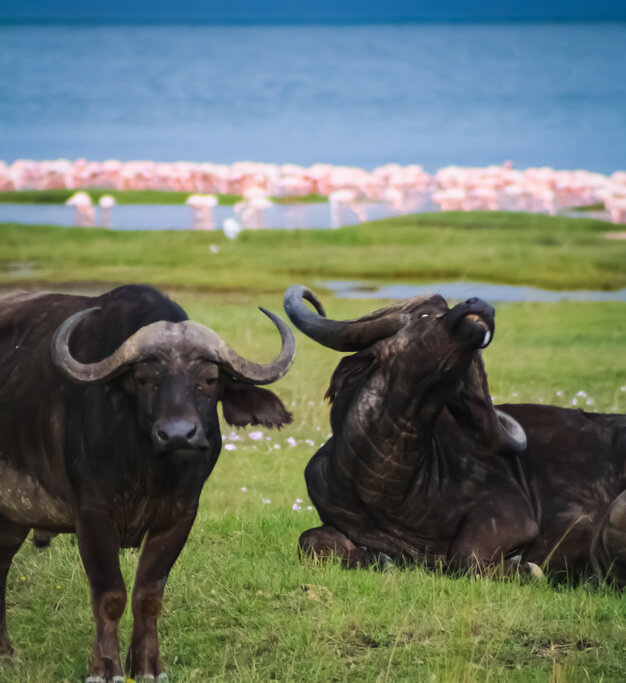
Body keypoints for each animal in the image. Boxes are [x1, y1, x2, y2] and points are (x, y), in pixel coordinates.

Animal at [0, 284, 294, 680]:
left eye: (208, 380)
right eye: (145, 379)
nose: (178, 435)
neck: (148, 470)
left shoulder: (179, 516)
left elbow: (148, 596)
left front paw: (148, 666)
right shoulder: (93, 515)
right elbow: (110, 596)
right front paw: (105, 667)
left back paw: (5, 650)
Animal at [282, 286, 624, 584]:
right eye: (424, 314)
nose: (481, 305)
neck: (388, 487)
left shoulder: (507, 513)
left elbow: (465, 556)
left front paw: (524, 567)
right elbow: (308, 540)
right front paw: (376, 558)